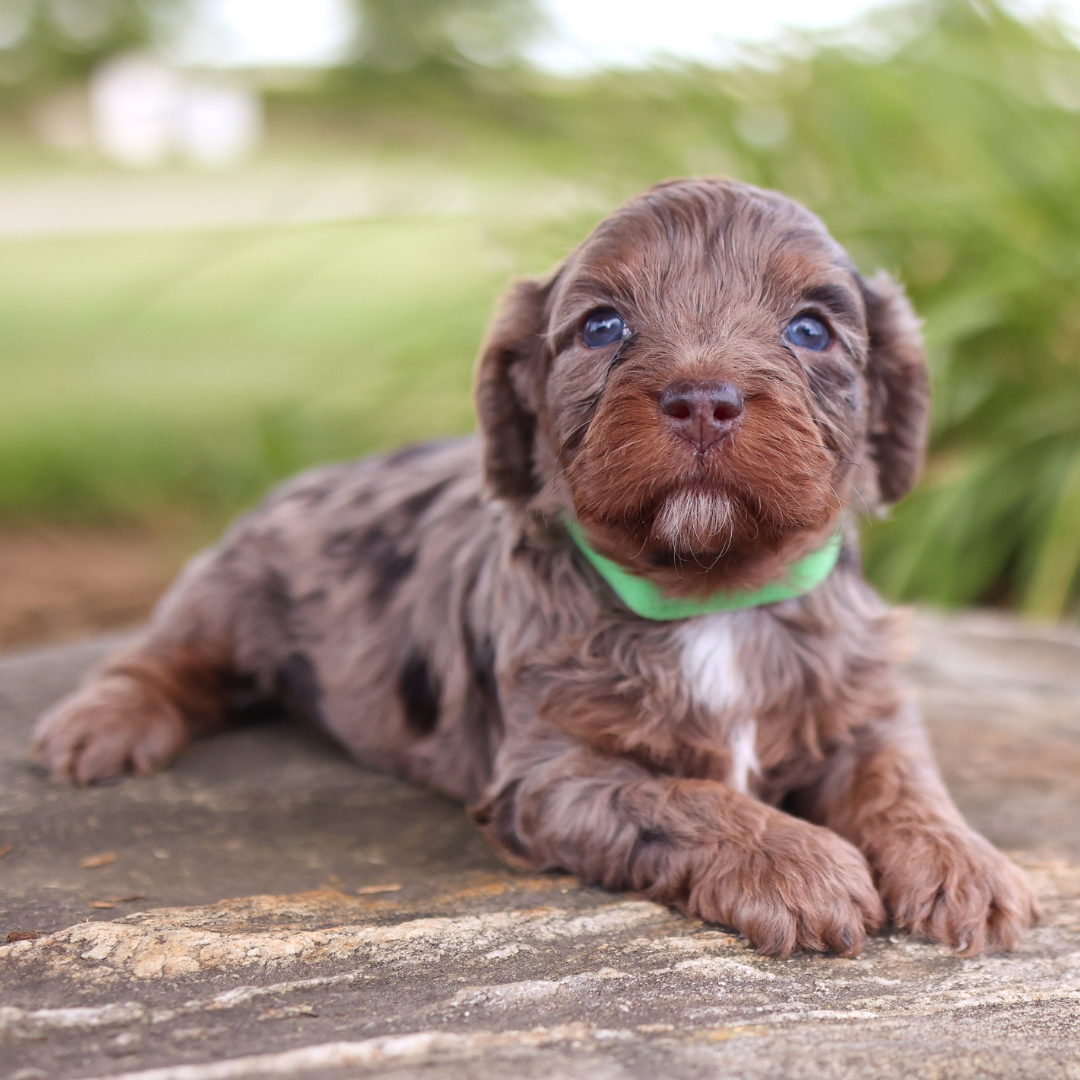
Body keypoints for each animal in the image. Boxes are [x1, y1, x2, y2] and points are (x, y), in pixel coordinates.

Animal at [33, 181, 1036, 959]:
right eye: (602, 325)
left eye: (811, 330)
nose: (702, 400)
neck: (715, 597)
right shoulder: (553, 775)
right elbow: (687, 797)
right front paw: (798, 862)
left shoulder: (863, 703)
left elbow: (904, 777)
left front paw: (965, 861)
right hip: (229, 589)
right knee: (164, 657)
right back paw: (100, 726)